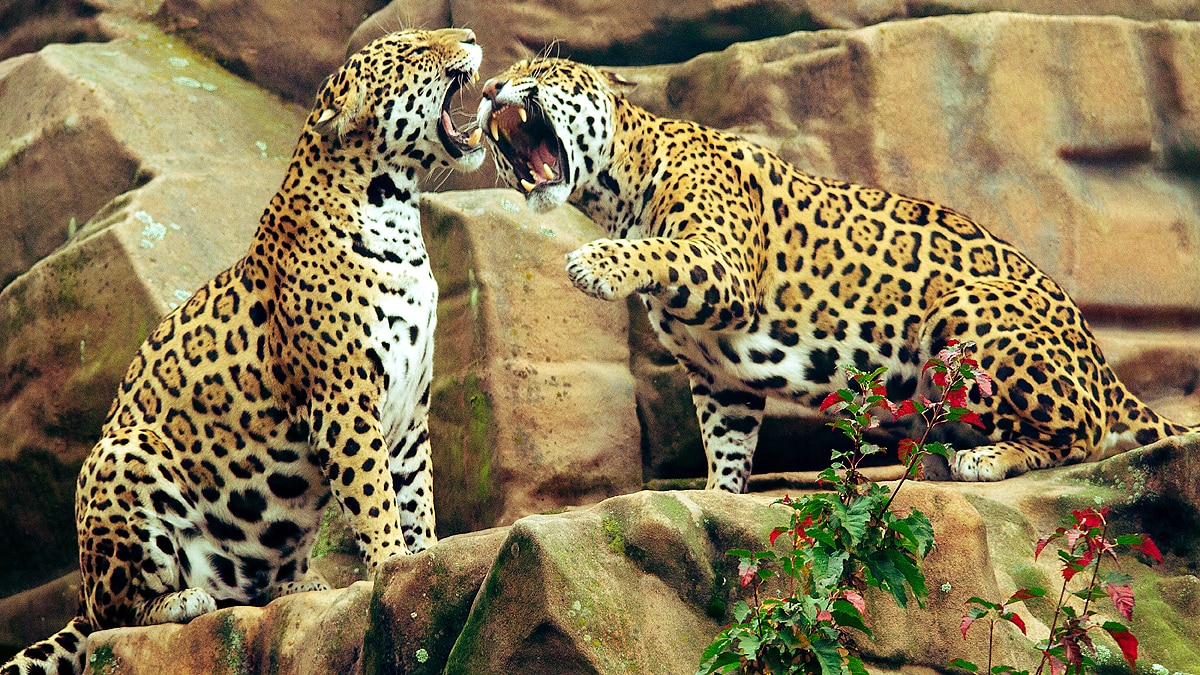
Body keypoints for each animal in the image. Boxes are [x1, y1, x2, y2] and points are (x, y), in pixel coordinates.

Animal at [1, 27, 485, 675]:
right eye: (411, 53)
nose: (472, 37)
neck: (397, 214)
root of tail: (79, 587)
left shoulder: (410, 411)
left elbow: (414, 495)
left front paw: (426, 562)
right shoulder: (343, 401)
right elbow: (375, 495)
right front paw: (389, 566)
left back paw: (299, 585)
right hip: (121, 458)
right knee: (113, 616)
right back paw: (182, 600)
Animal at [475, 56, 1195, 493]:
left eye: (539, 70)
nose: (486, 92)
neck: (615, 193)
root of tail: (1104, 364)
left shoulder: (723, 263)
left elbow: (661, 252)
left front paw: (596, 265)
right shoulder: (718, 375)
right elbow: (727, 442)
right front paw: (715, 497)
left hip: (967, 310)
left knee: (1082, 434)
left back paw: (988, 457)